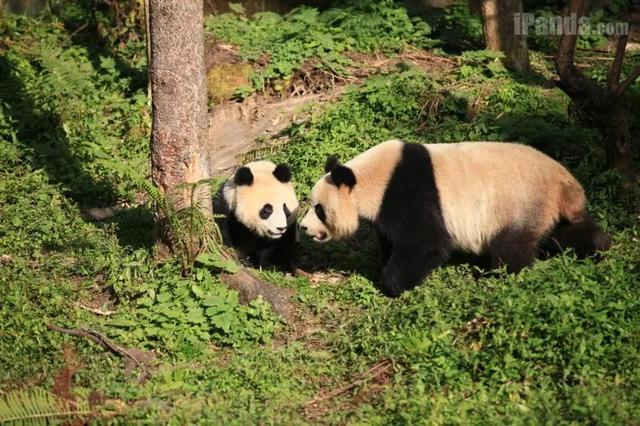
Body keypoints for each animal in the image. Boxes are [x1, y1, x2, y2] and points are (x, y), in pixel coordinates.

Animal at [300, 140, 608, 296]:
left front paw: (391, 284)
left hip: (518, 203)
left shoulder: (408, 191)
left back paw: (507, 274)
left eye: (319, 208)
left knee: (511, 248)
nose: (303, 227)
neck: (372, 178)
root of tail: (565, 185)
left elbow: (426, 243)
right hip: (546, 209)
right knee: (564, 232)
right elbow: (392, 239)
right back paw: (599, 245)